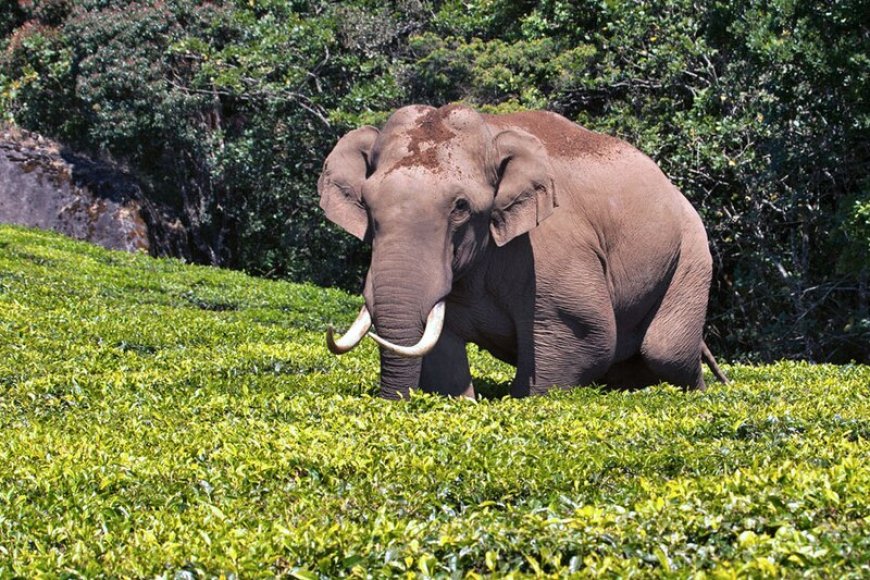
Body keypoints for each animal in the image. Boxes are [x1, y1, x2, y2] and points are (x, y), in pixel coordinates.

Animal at [316, 104, 724, 398]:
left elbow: (584, 336)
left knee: (664, 351)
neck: (492, 131)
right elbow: (442, 351)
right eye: (367, 203)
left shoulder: (552, 249)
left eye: (461, 207)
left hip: (692, 255)